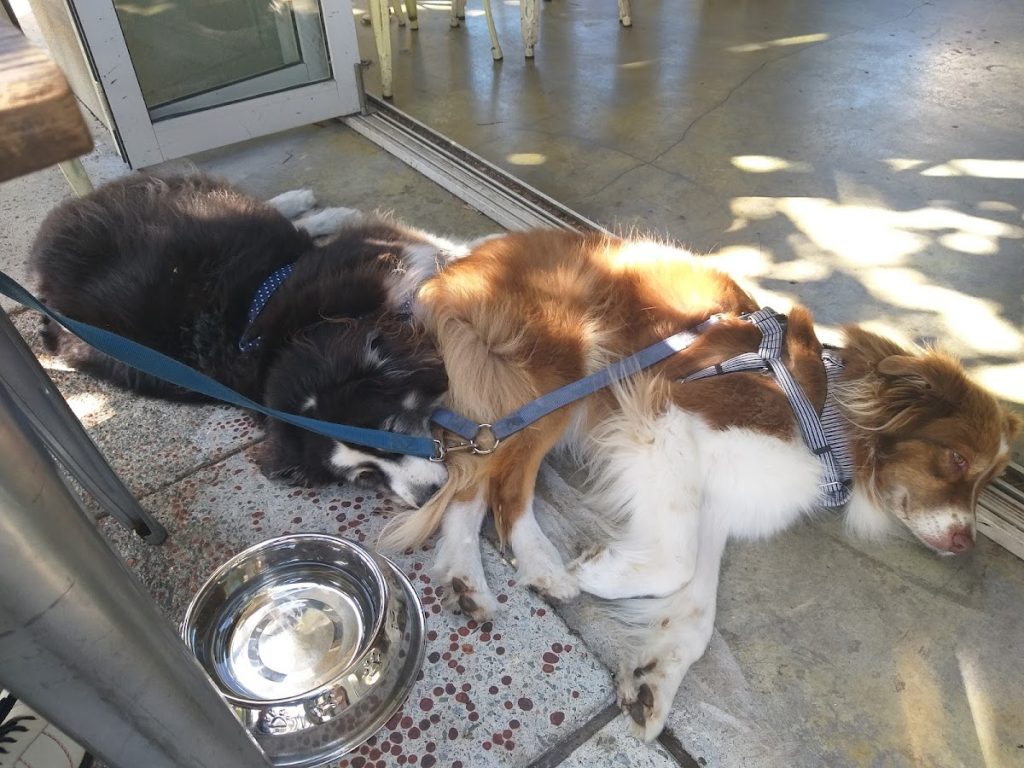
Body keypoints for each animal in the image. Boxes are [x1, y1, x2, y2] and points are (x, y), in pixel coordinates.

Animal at [30, 173, 465, 506]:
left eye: (391, 429)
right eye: (365, 477)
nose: (427, 498)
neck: (299, 334)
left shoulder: (385, 257)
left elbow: (445, 252)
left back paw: (311, 206)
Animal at [379, 228, 1021, 739]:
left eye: (989, 481)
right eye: (956, 459)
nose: (965, 542)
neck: (826, 413)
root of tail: (456, 266)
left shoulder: (714, 499)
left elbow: (694, 612)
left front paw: (652, 682)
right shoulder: (667, 415)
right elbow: (674, 564)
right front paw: (594, 573)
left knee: (473, 475)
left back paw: (465, 579)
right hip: (565, 368)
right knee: (505, 480)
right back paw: (543, 566)